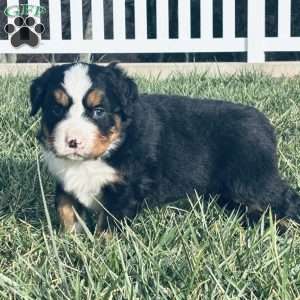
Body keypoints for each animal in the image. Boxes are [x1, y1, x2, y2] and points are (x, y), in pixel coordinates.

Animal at [29, 62, 300, 233]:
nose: (73, 141)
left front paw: (100, 254)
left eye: (98, 111)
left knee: (286, 198)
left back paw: (284, 228)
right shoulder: (65, 180)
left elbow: (108, 226)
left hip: (252, 180)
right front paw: (70, 242)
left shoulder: (126, 187)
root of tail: (264, 122)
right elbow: (65, 208)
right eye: (56, 109)